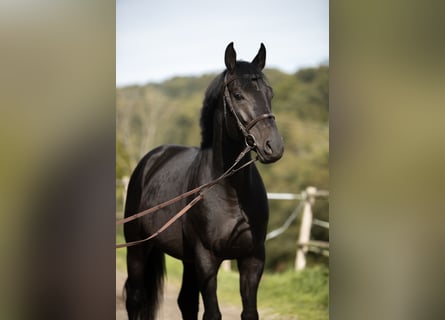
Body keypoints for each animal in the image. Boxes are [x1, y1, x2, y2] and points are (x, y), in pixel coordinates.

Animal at [122, 43, 280, 320]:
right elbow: (212, 313)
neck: (230, 191)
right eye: (238, 95)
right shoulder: (206, 259)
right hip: (137, 249)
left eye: (269, 92)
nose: (273, 146)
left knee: (185, 301)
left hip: (186, 259)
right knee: (135, 298)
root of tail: (152, 159)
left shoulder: (252, 259)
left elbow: (249, 312)